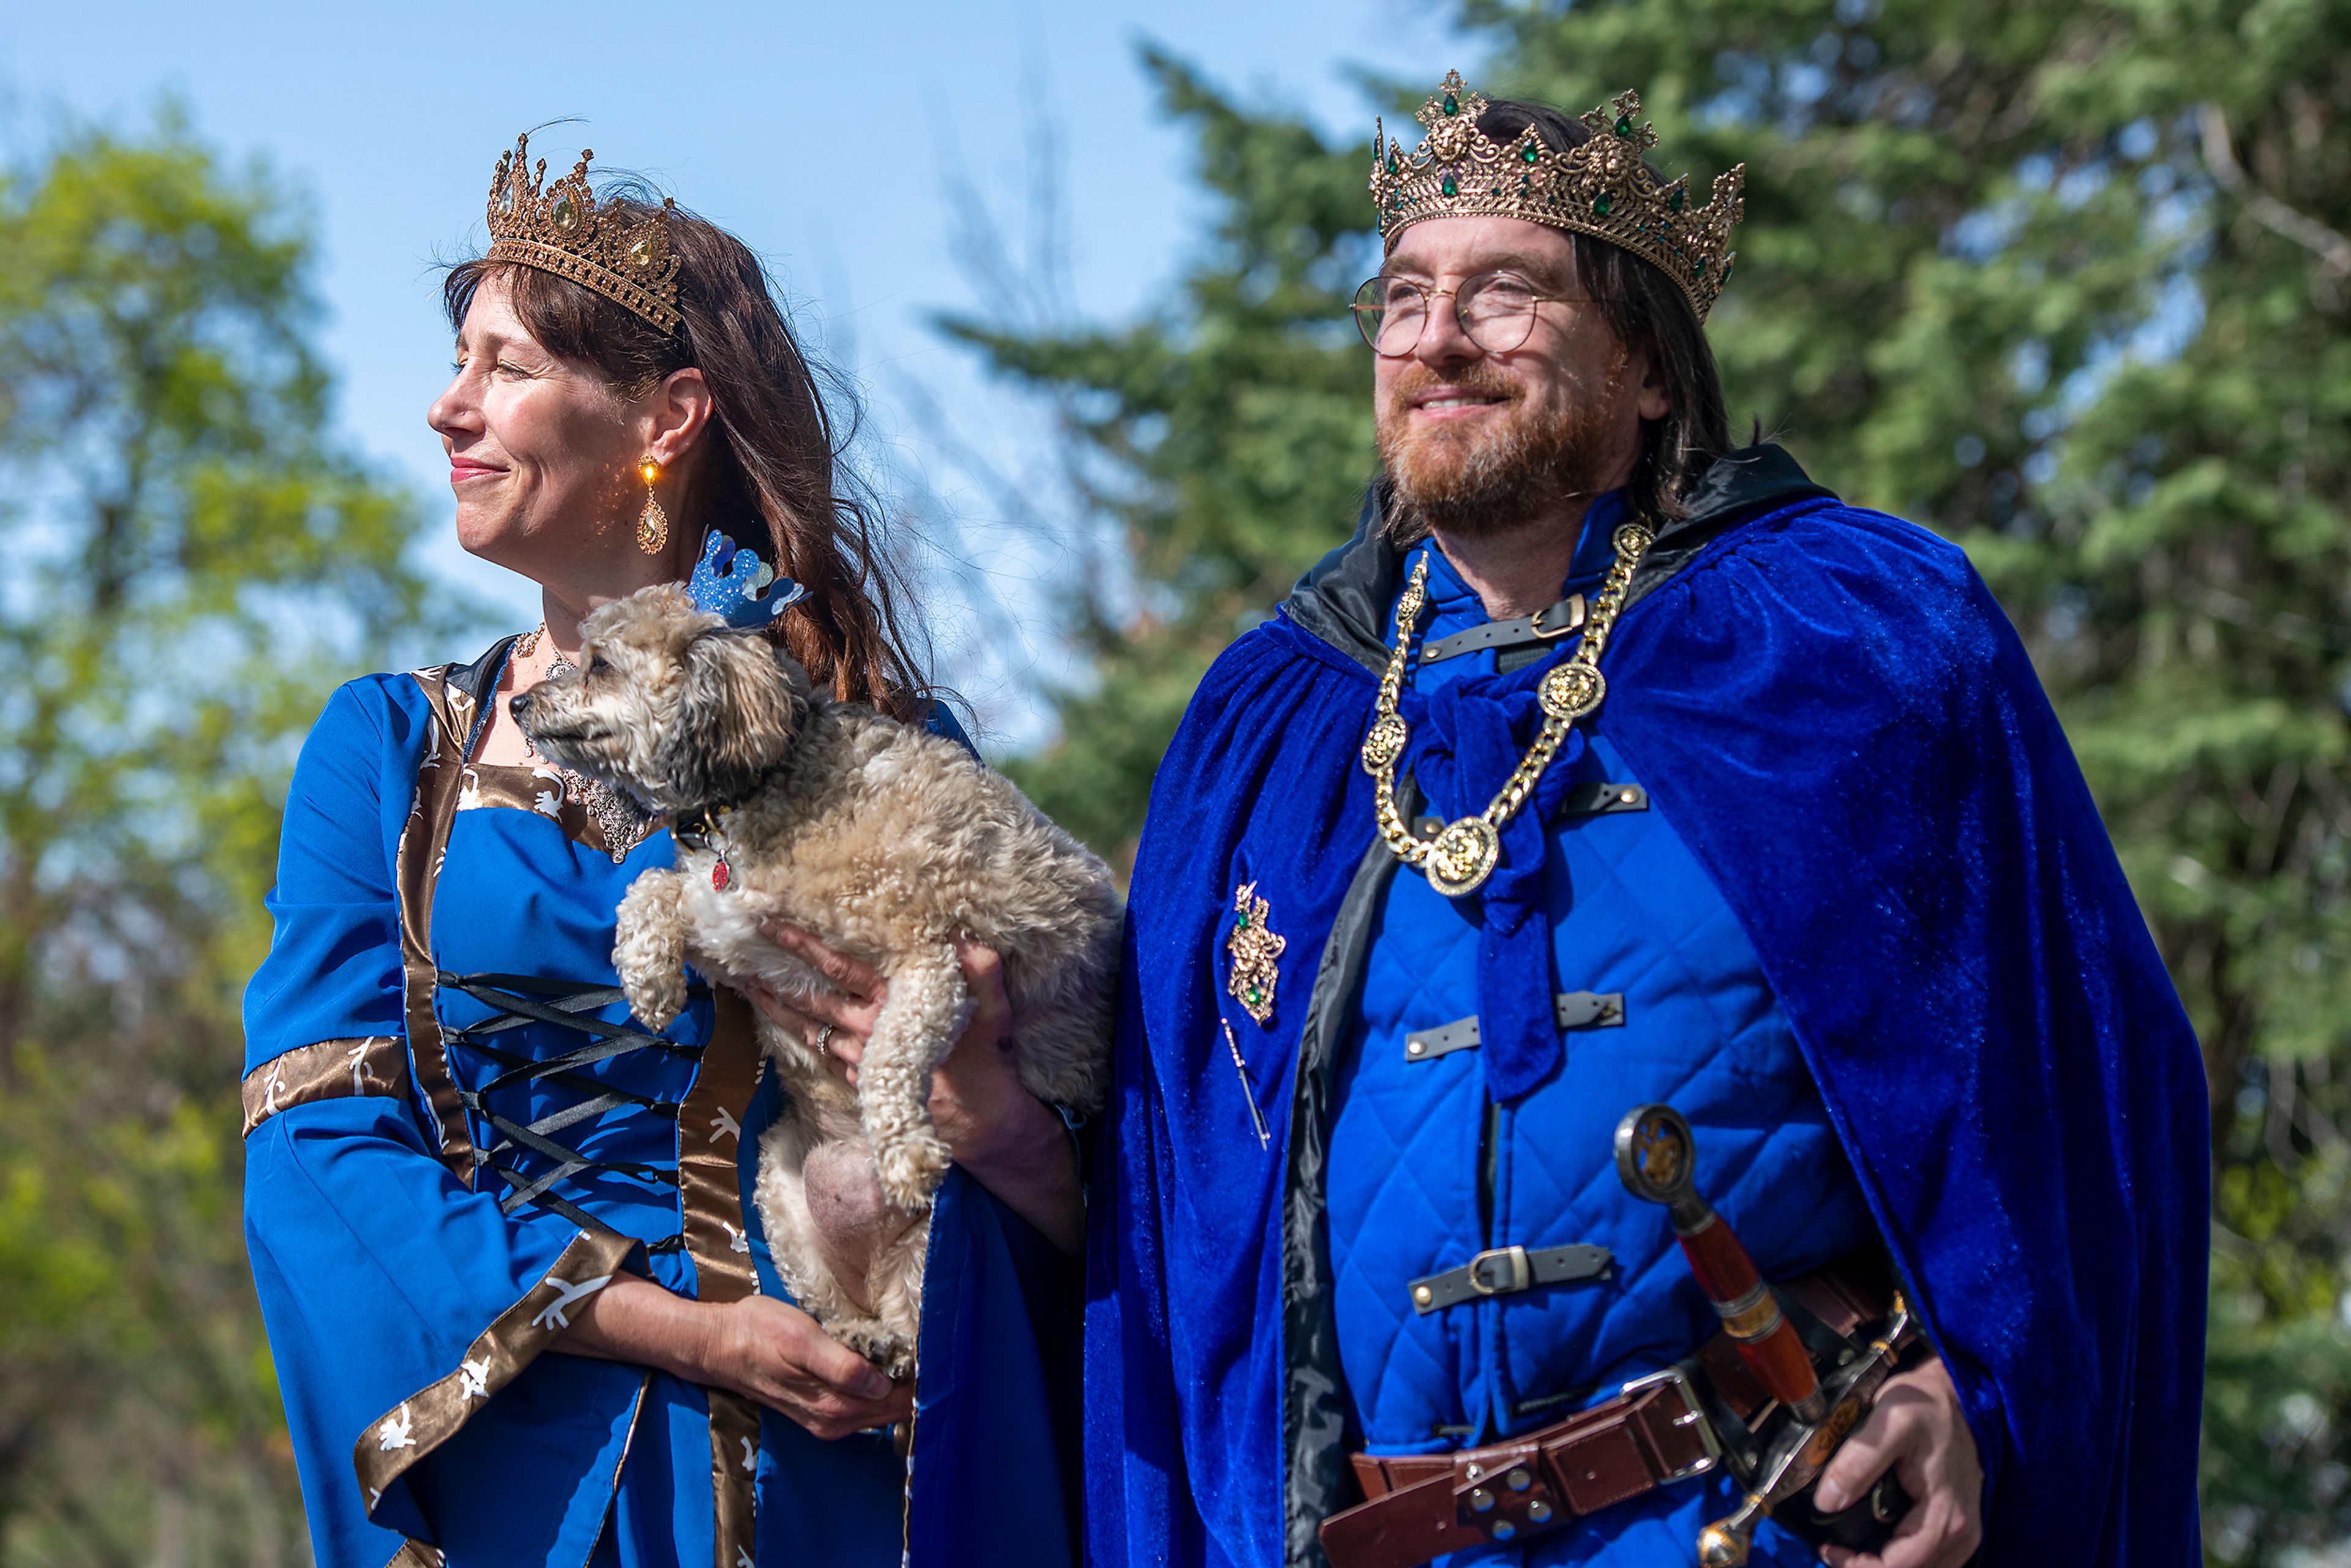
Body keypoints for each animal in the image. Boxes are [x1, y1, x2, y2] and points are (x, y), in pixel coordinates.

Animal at [510, 585, 1114, 1373]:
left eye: (601, 665)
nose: (519, 703)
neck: (761, 784)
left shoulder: (932, 964)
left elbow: (890, 1055)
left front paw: (906, 1152)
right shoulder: (734, 931)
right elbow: (650, 889)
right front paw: (648, 979)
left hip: (932, 1240)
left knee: (912, 1327)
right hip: (783, 1188)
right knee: (843, 1305)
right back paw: (861, 1334)